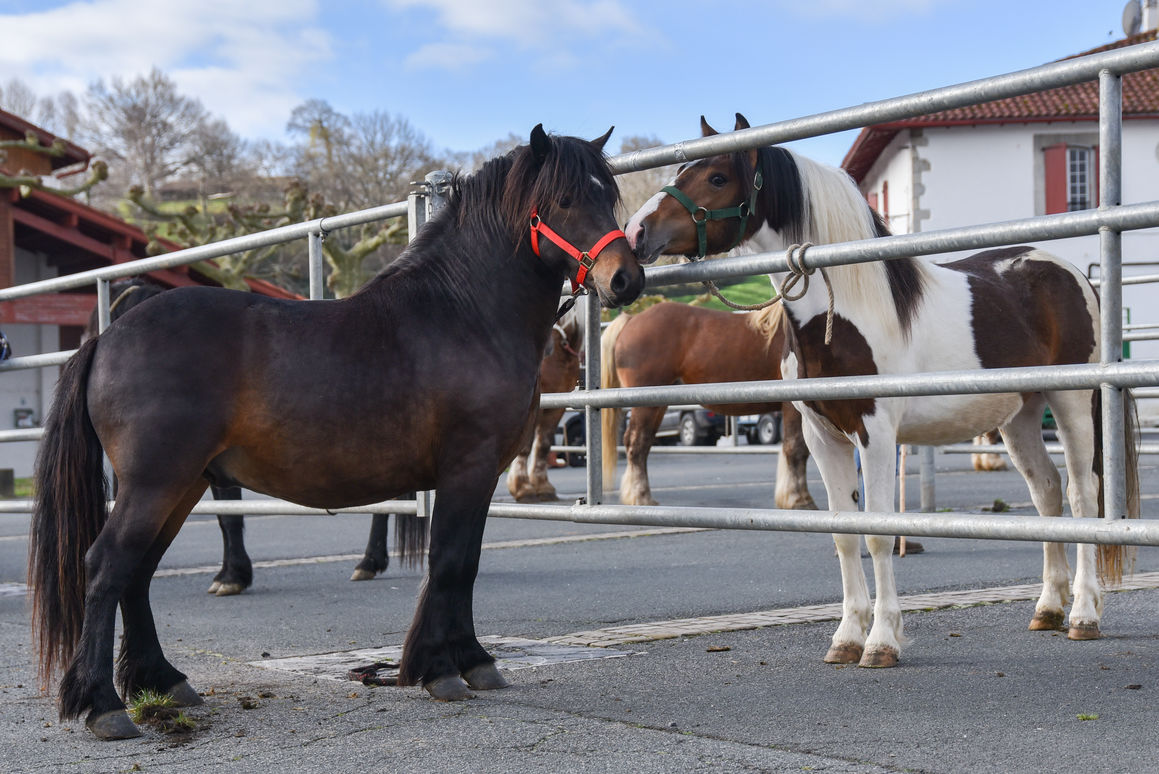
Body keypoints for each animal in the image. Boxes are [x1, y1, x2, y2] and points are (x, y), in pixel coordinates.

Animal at [598, 298, 815, 509]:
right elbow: (796, 447)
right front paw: (798, 499)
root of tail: (631, 320)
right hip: (646, 406)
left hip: (657, 405)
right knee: (636, 442)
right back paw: (640, 497)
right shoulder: (793, 406)